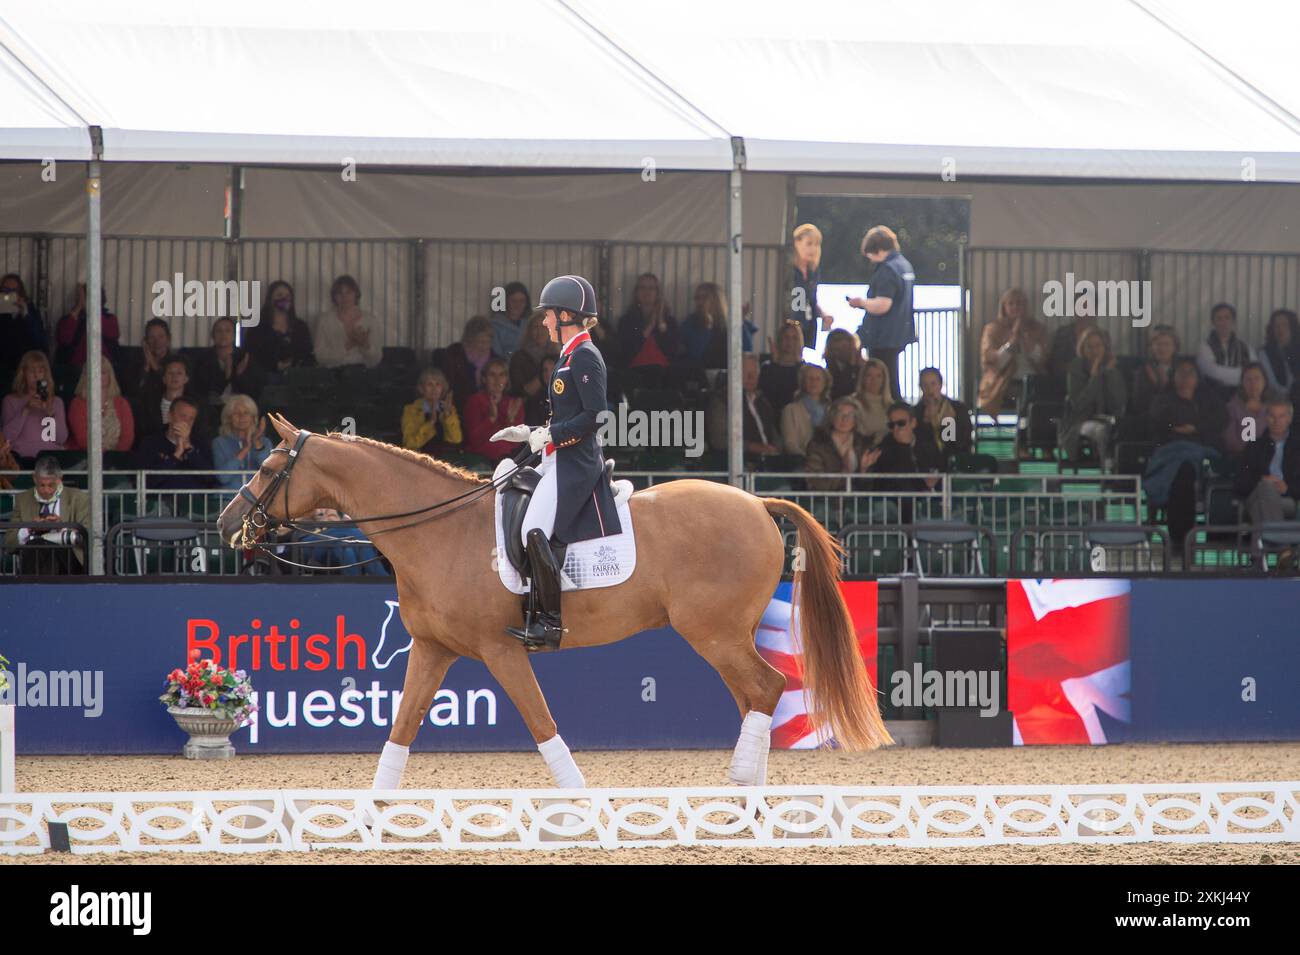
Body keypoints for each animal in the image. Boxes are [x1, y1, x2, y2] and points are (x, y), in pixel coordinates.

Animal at [218, 415, 889, 789]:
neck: (438, 529)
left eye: (269, 467)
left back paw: (740, 788)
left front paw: (578, 807)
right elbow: (400, 730)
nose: (227, 523)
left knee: (768, 689)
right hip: (725, 637)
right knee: (757, 696)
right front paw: (369, 813)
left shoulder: (501, 651)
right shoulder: (433, 649)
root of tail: (756, 502)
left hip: (714, 634)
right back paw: (751, 800)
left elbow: (542, 725)